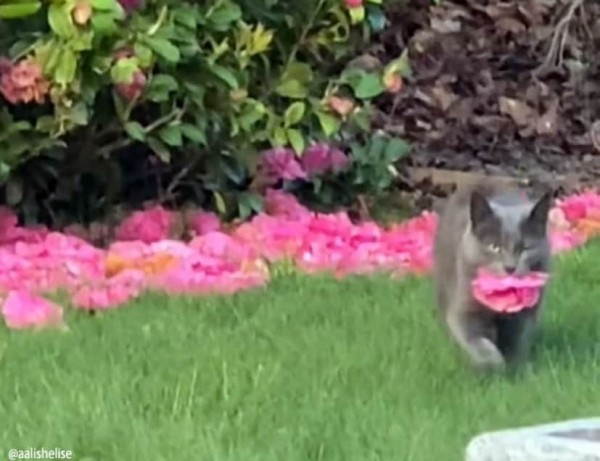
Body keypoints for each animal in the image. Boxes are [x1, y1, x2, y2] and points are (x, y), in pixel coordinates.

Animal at [432, 180, 552, 370]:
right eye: (495, 247)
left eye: (525, 248)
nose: (510, 267)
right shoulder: (465, 307)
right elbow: (476, 339)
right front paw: (493, 363)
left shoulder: (525, 314)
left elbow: (516, 337)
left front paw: (515, 364)